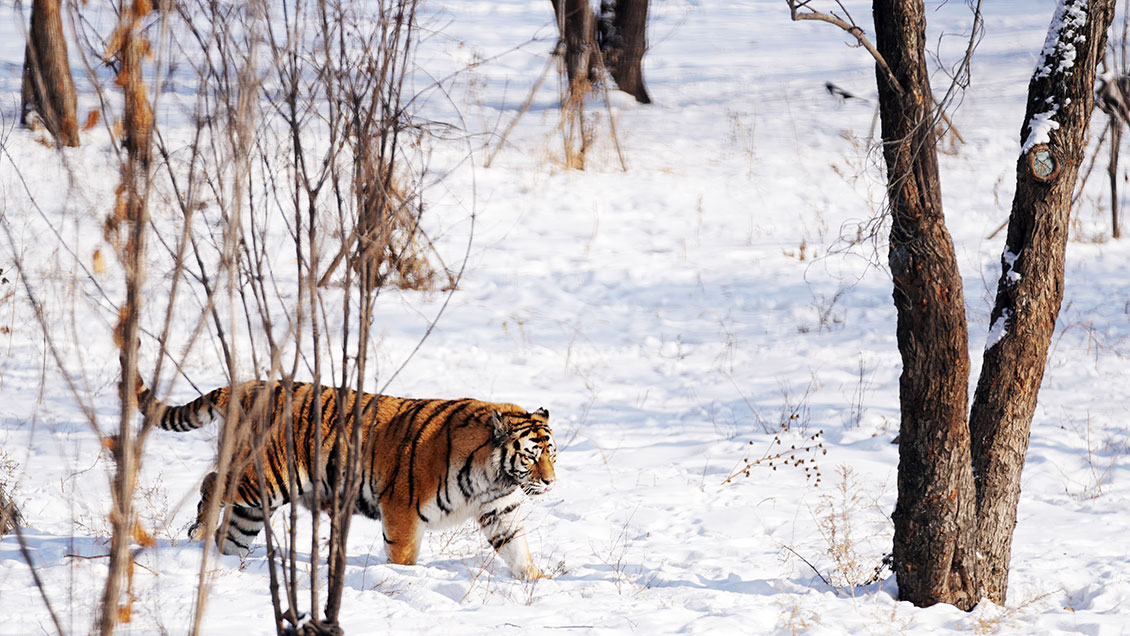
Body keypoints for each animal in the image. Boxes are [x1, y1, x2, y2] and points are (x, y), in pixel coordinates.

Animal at [137, 379, 557, 580]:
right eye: (532, 456)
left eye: (552, 455)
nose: (551, 483)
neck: (494, 475)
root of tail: (246, 385)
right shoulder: (402, 509)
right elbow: (403, 557)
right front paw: (404, 577)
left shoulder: (500, 512)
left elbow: (517, 549)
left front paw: (537, 579)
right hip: (267, 477)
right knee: (212, 480)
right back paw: (197, 530)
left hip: (257, 504)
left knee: (234, 533)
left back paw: (227, 565)